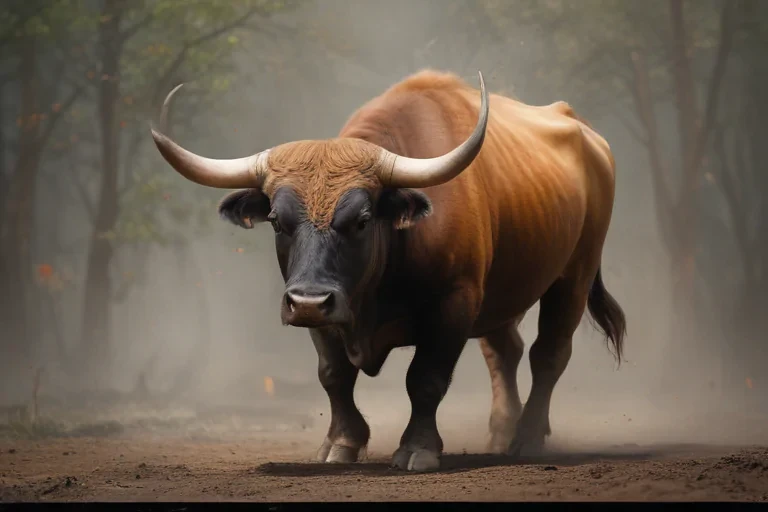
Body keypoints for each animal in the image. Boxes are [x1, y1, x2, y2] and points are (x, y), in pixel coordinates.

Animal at [150, 69, 627, 472]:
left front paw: (418, 448)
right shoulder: (327, 310)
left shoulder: (453, 304)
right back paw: (500, 433)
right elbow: (334, 375)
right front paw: (342, 443)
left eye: (362, 220)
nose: (308, 300)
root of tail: (591, 140)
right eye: (276, 221)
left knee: (548, 354)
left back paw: (526, 438)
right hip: (502, 292)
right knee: (504, 352)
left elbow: (426, 378)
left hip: (574, 277)